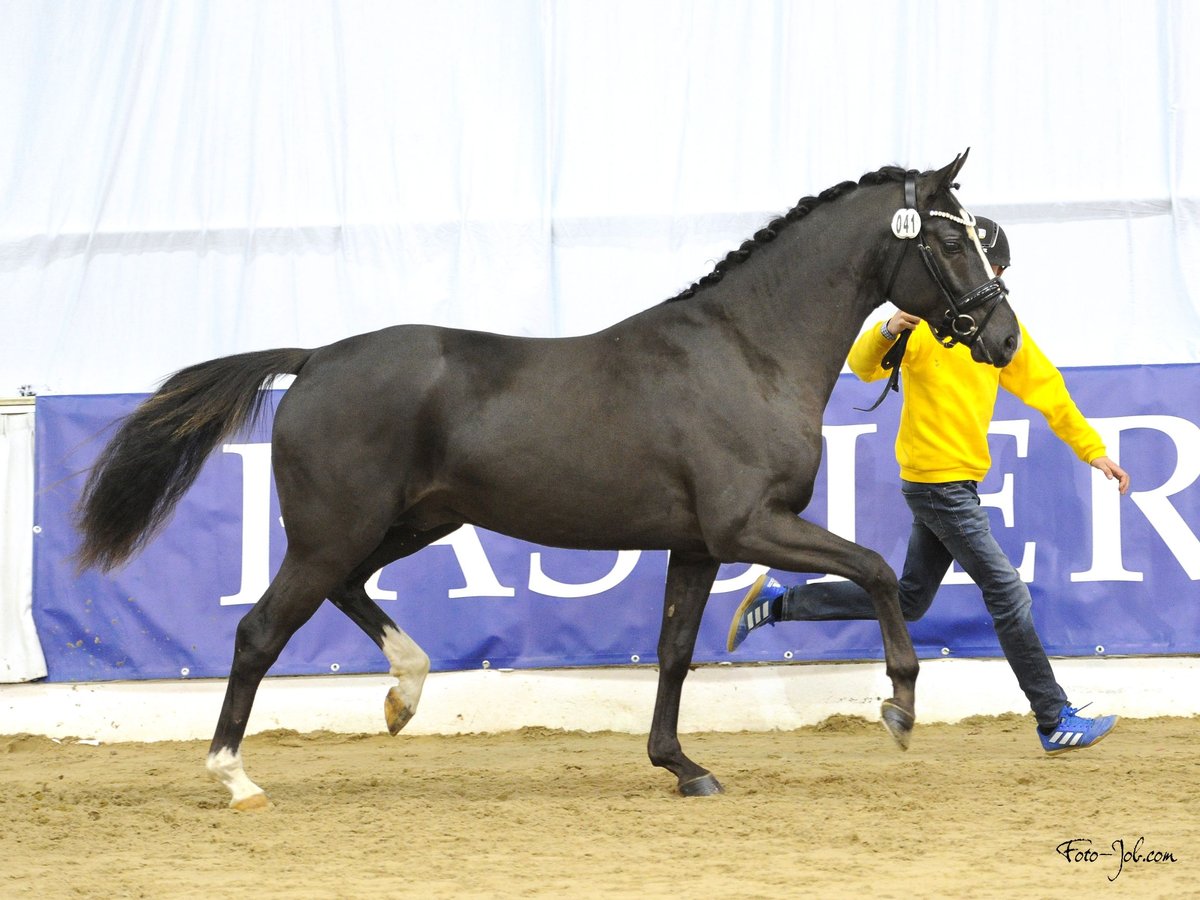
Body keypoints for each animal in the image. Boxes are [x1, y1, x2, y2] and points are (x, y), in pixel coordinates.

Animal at [75, 150, 1017, 811]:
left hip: (408, 524)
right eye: (948, 238)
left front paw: (683, 767)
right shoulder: (750, 524)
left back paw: (403, 696)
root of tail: (314, 360)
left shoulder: (696, 544)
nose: (1003, 337)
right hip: (331, 531)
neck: (746, 350)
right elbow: (877, 570)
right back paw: (236, 778)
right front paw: (899, 709)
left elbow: (676, 652)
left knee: (345, 591)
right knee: (259, 633)